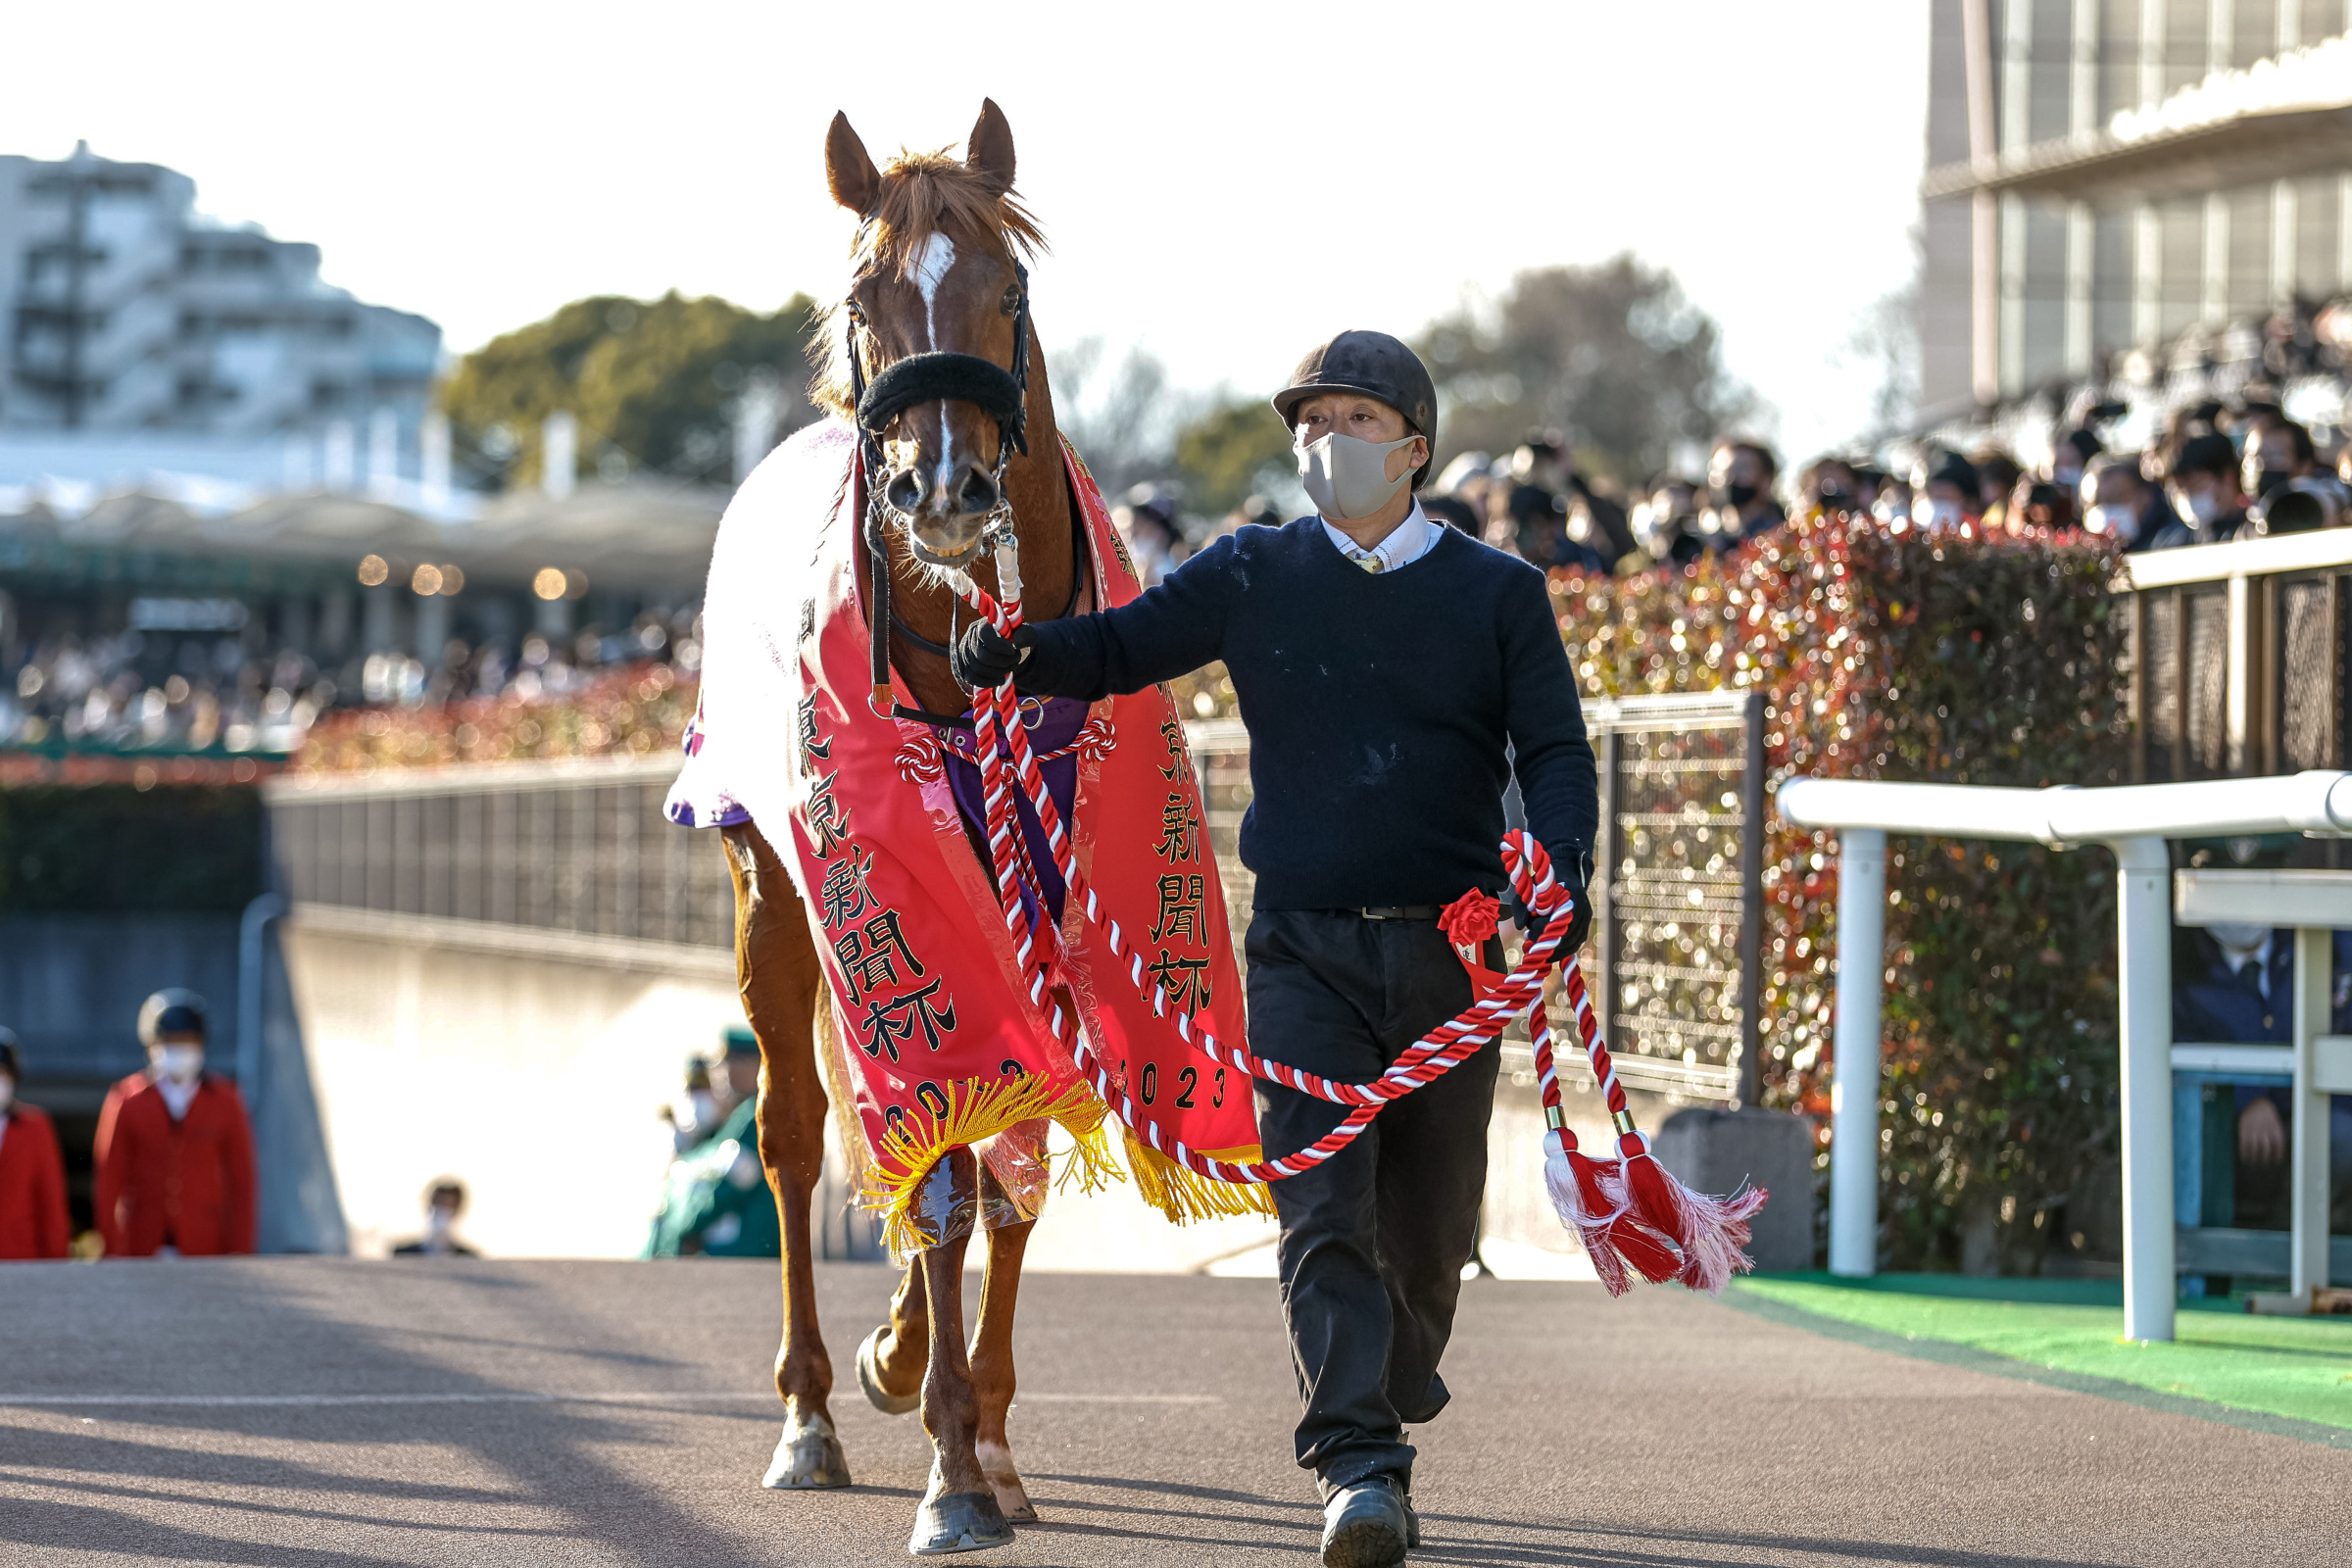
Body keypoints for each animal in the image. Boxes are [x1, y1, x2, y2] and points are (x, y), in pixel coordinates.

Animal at [719, 101, 1086, 1560]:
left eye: (1013, 289)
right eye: (863, 301)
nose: (941, 487)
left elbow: (1004, 1163)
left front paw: (986, 1430)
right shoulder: (890, 881)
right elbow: (928, 1158)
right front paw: (948, 1464)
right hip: (774, 884)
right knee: (791, 1125)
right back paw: (813, 1407)